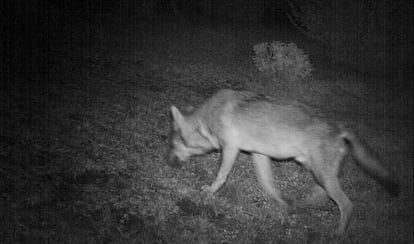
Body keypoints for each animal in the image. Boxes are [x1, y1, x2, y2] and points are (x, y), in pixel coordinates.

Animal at [167, 88, 400, 234]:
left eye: (171, 144)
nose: (166, 161)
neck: (207, 118)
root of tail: (340, 127)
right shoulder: (259, 155)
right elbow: (268, 185)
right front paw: (282, 205)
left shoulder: (231, 150)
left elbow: (221, 176)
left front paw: (208, 192)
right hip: (318, 172)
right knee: (321, 195)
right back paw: (299, 204)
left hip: (322, 175)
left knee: (346, 205)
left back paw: (338, 234)